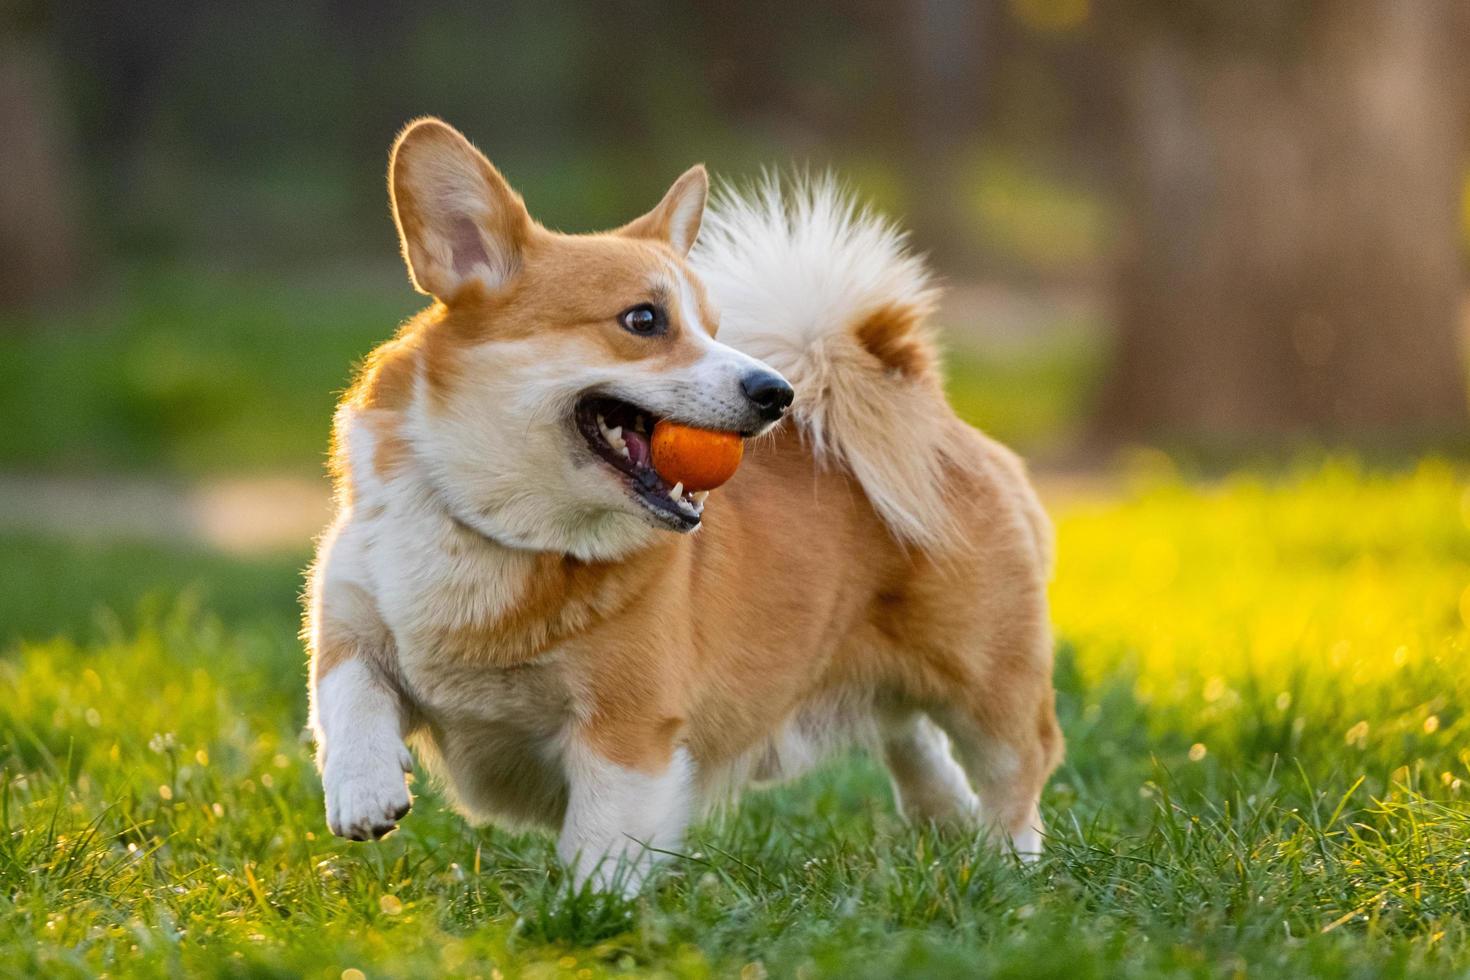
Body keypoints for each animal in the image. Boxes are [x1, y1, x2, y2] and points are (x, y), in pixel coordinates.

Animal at [307, 116, 1058, 899]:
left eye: (714, 326)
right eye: (643, 319)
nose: (779, 392)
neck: (504, 534)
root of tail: (931, 411)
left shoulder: (627, 730)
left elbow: (599, 841)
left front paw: (585, 911)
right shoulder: (348, 620)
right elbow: (348, 690)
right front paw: (363, 792)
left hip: (989, 683)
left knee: (1016, 774)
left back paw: (1009, 872)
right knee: (911, 736)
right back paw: (948, 821)